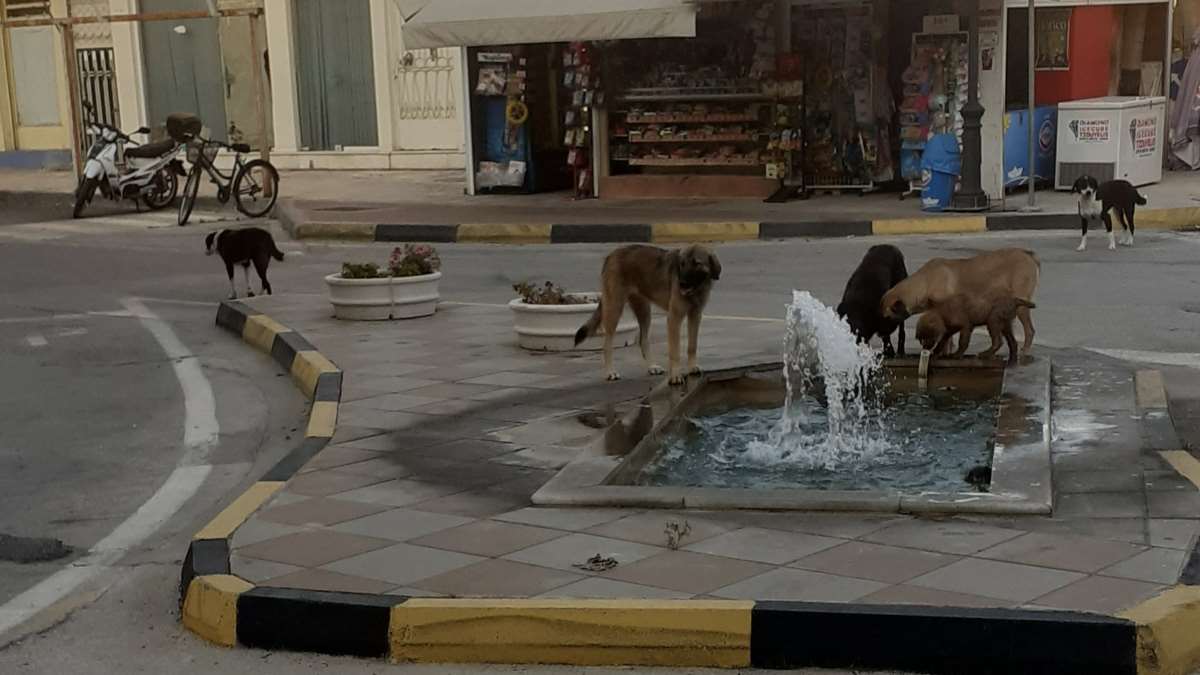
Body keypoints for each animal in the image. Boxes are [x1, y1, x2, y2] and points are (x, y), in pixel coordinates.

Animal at [573, 242, 720, 384]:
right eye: (682, 264)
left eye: (697, 263)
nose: (682, 283)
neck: (697, 289)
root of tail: (612, 255)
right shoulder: (674, 318)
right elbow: (675, 352)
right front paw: (675, 376)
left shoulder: (695, 316)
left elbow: (692, 346)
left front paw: (692, 367)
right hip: (614, 309)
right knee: (607, 344)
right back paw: (610, 372)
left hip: (644, 312)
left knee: (643, 340)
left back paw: (652, 367)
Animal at [883, 247, 1041, 353]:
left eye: (886, 317)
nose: (882, 336)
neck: (925, 282)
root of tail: (1028, 255)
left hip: (1021, 306)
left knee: (1030, 330)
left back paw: (1025, 351)